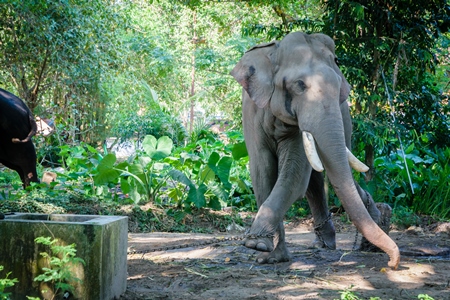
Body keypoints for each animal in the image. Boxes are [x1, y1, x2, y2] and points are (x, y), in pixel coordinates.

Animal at [230, 31, 400, 268]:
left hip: (345, 118)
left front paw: (258, 245)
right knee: (319, 177)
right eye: (299, 84)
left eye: (338, 87)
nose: (393, 263)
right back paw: (328, 241)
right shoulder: (252, 111)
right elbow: (262, 170)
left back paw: (377, 222)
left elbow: (293, 177)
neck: (274, 52)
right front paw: (266, 252)